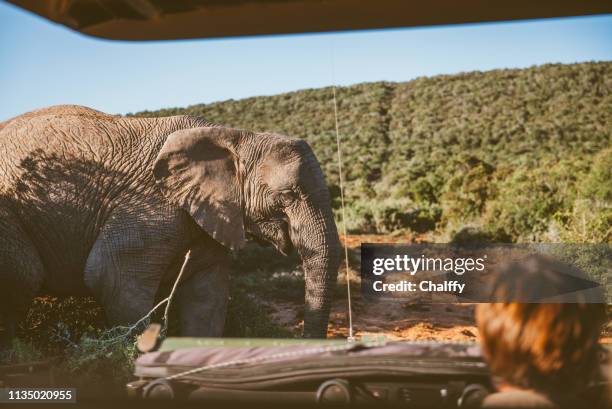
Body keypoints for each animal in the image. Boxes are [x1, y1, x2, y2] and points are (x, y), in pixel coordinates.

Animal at [0, 105, 340, 344]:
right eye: (287, 195)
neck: (234, 138)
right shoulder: (148, 205)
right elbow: (111, 276)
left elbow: (207, 296)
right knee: (25, 276)